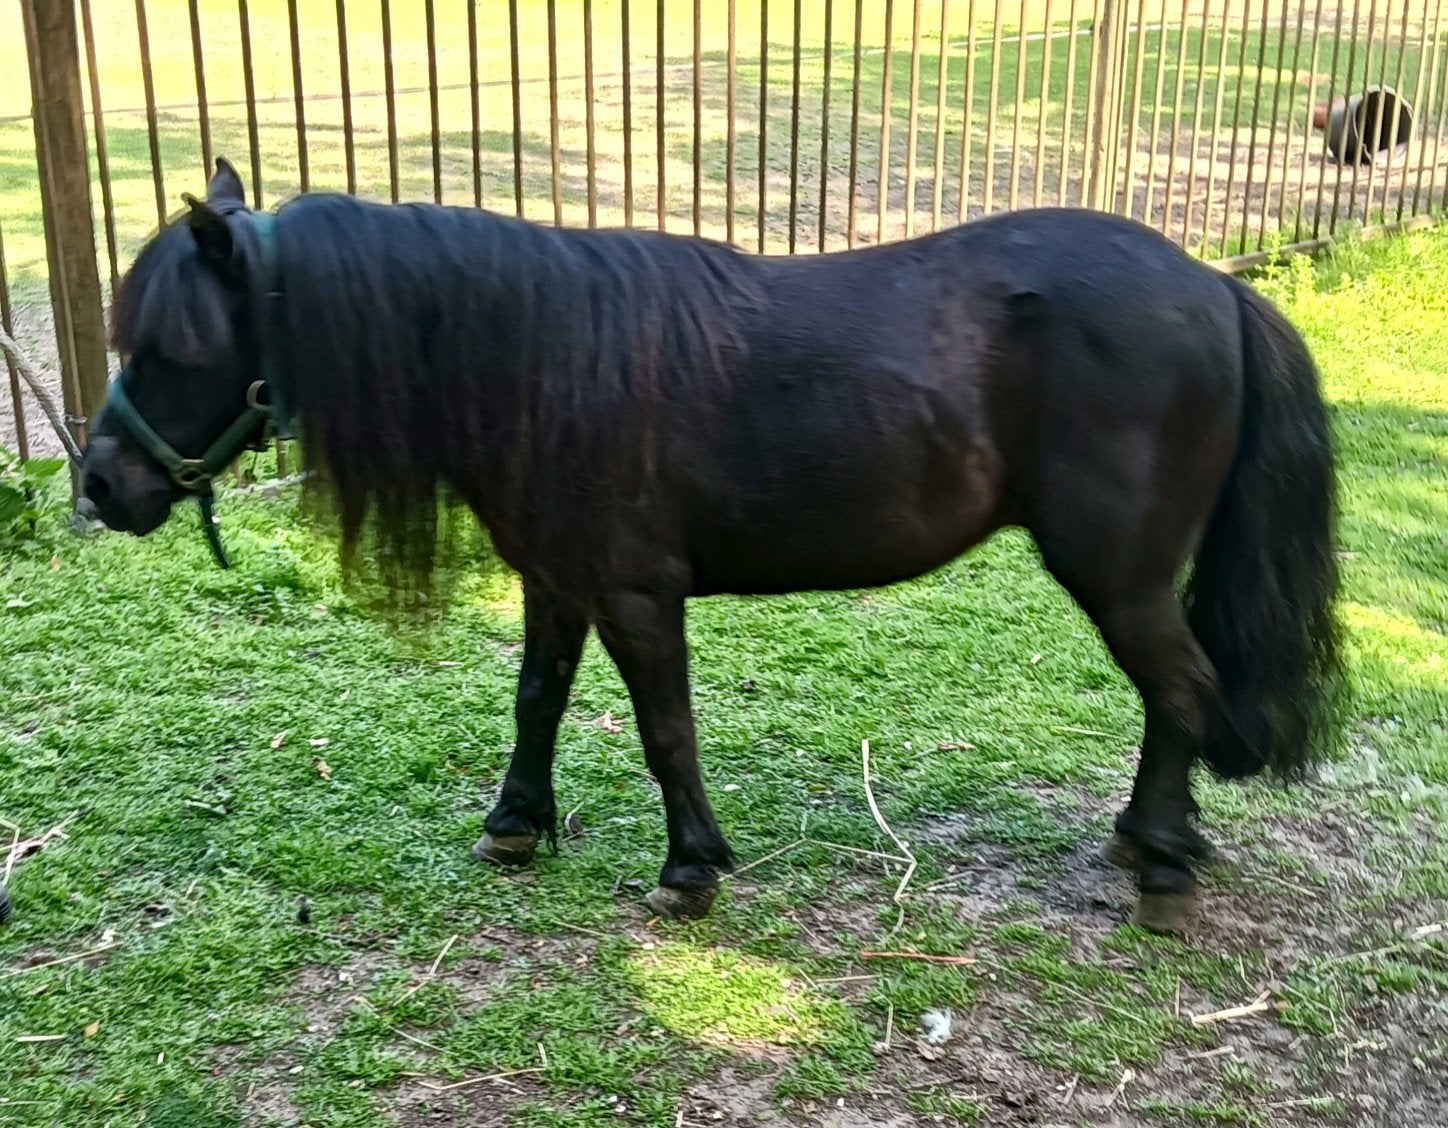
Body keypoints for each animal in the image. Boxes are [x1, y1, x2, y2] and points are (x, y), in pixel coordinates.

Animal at [82, 159, 1341, 934]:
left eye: (173, 347)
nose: (98, 485)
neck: (539, 360)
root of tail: (1213, 286)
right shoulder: (556, 581)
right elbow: (537, 701)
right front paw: (514, 827)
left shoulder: (637, 594)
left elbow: (663, 730)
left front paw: (688, 869)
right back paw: (1148, 842)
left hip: (1117, 576)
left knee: (1179, 689)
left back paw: (1163, 866)